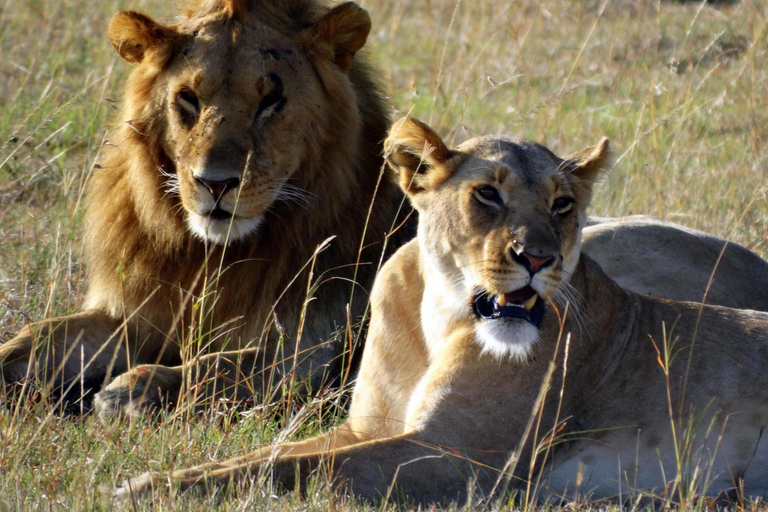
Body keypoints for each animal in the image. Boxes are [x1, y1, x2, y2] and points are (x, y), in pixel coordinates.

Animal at [115, 117, 768, 504]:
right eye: (488, 194)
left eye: (562, 205)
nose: (540, 259)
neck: (441, 312)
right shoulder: (368, 427)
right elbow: (268, 455)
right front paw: (161, 474)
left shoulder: (458, 460)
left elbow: (297, 471)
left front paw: (145, 487)